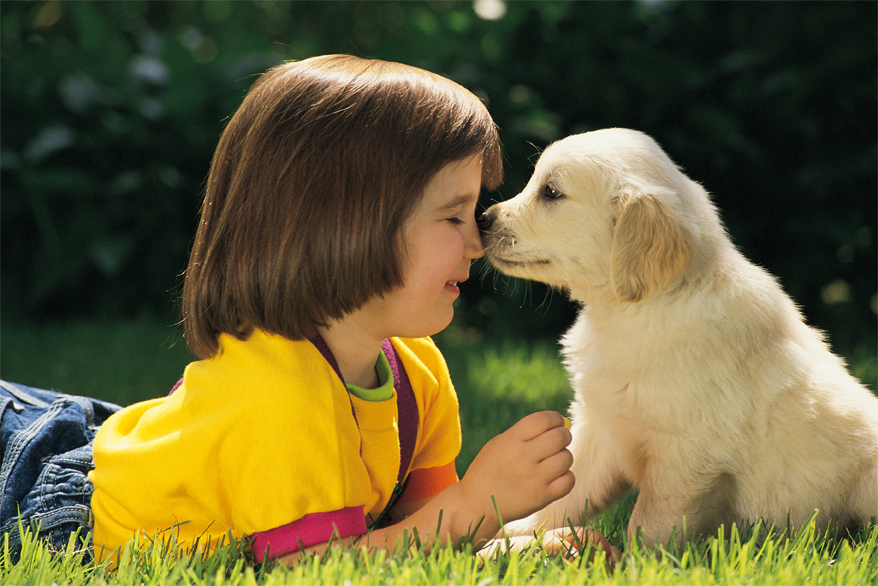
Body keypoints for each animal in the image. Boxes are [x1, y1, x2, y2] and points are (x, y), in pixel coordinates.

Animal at [482, 126, 878, 544]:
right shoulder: (602, 425)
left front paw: (635, 556)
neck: (638, 309)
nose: (483, 218)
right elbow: (572, 488)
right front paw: (520, 530)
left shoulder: (687, 455)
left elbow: (651, 520)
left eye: (552, 192)